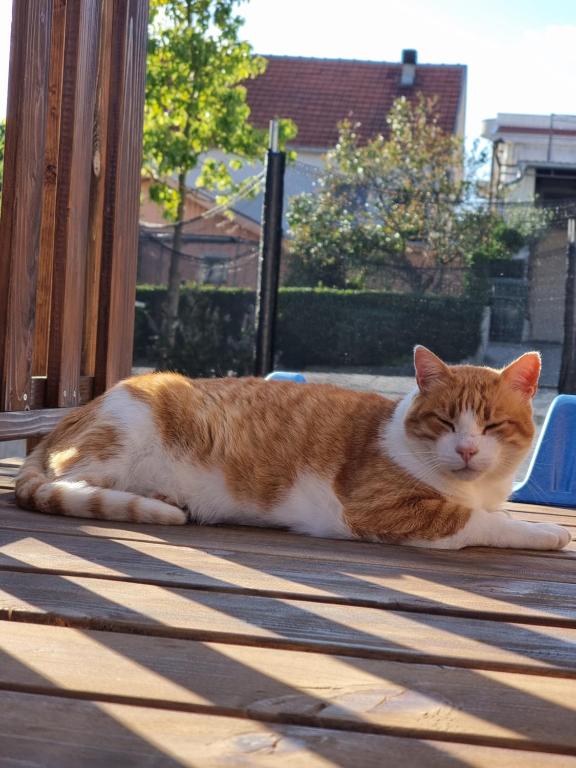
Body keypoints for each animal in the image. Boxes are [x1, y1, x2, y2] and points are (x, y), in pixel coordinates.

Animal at [15, 345, 571, 551]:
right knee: (69, 483)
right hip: (127, 428)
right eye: (445, 421)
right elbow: (480, 523)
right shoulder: (380, 511)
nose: (468, 450)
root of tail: (65, 422)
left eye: (492, 424)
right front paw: (544, 532)